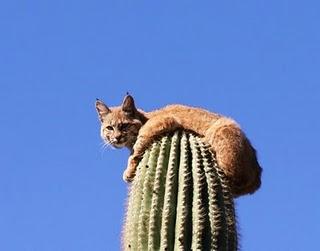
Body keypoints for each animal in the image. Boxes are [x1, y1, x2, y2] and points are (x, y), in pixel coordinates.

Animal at [96, 93, 262, 196]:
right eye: (109, 128)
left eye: (124, 126)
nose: (117, 138)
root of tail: (259, 170)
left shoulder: (165, 120)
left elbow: (139, 143)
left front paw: (129, 171)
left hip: (223, 127)